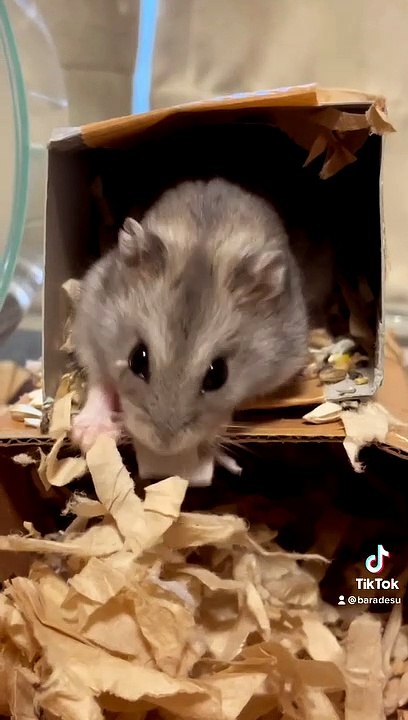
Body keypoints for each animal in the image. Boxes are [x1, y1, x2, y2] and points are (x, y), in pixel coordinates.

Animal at [72, 178, 309, 483]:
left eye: (218, 375)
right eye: (137, 359)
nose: (164, 444)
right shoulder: (91, 320)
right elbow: (101, 380)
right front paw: (88, 438)